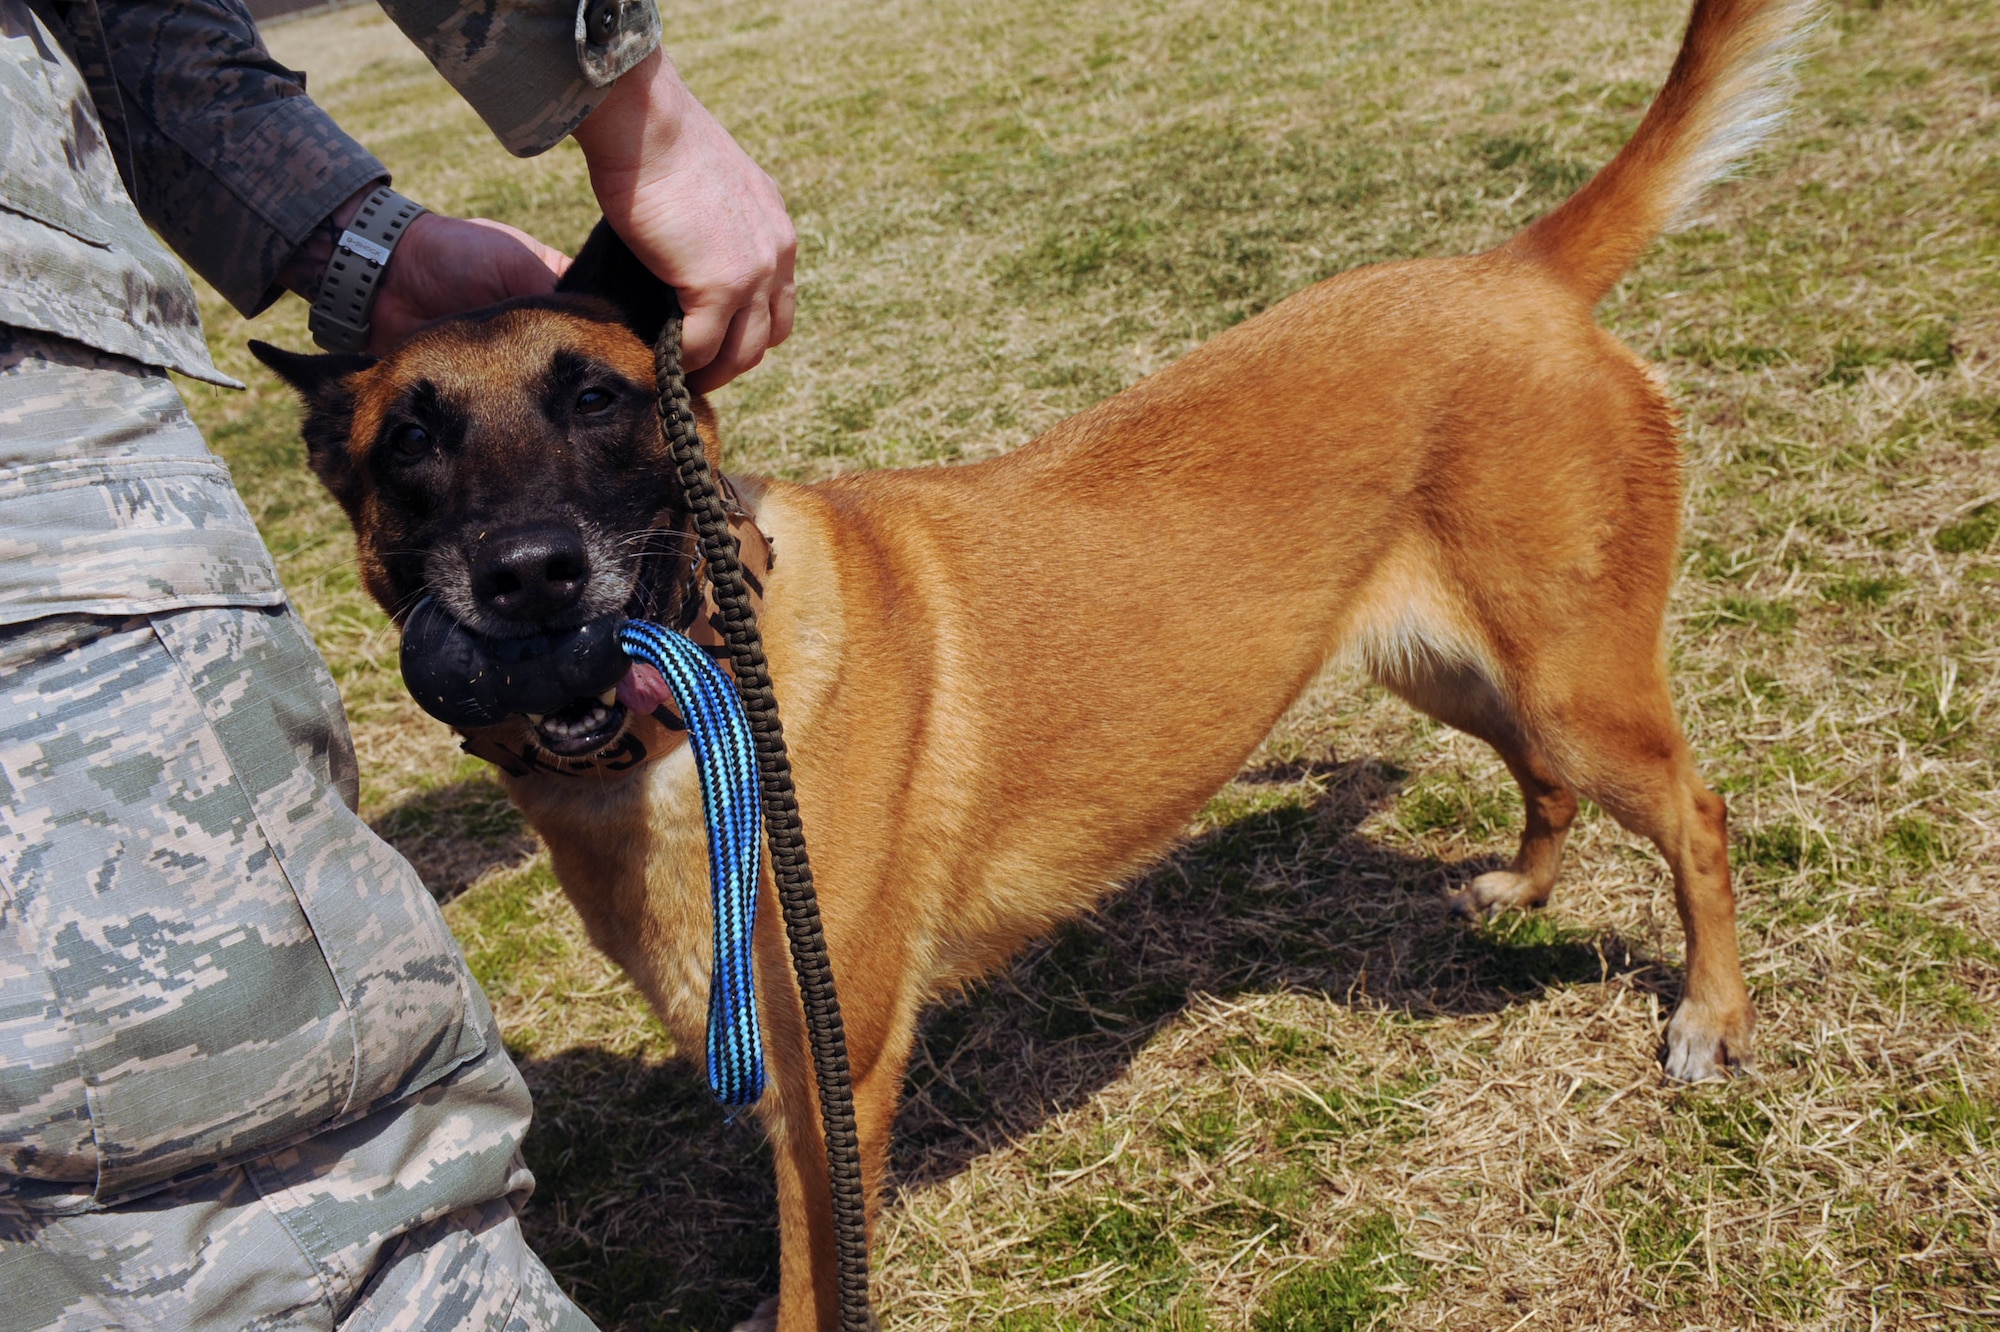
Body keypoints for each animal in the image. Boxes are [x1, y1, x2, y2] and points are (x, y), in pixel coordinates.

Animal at [254, 2, 1816, 1320]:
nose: (528, 576)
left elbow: (821, 1276)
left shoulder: (830, 1075)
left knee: (1696, 812)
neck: (702, 699)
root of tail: (1513, 272)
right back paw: (1523, 885)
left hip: (1569, 681)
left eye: (599, 401)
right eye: (411, 442)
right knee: (1548, 779)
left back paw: (1710, 1016)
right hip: (1445, 669)